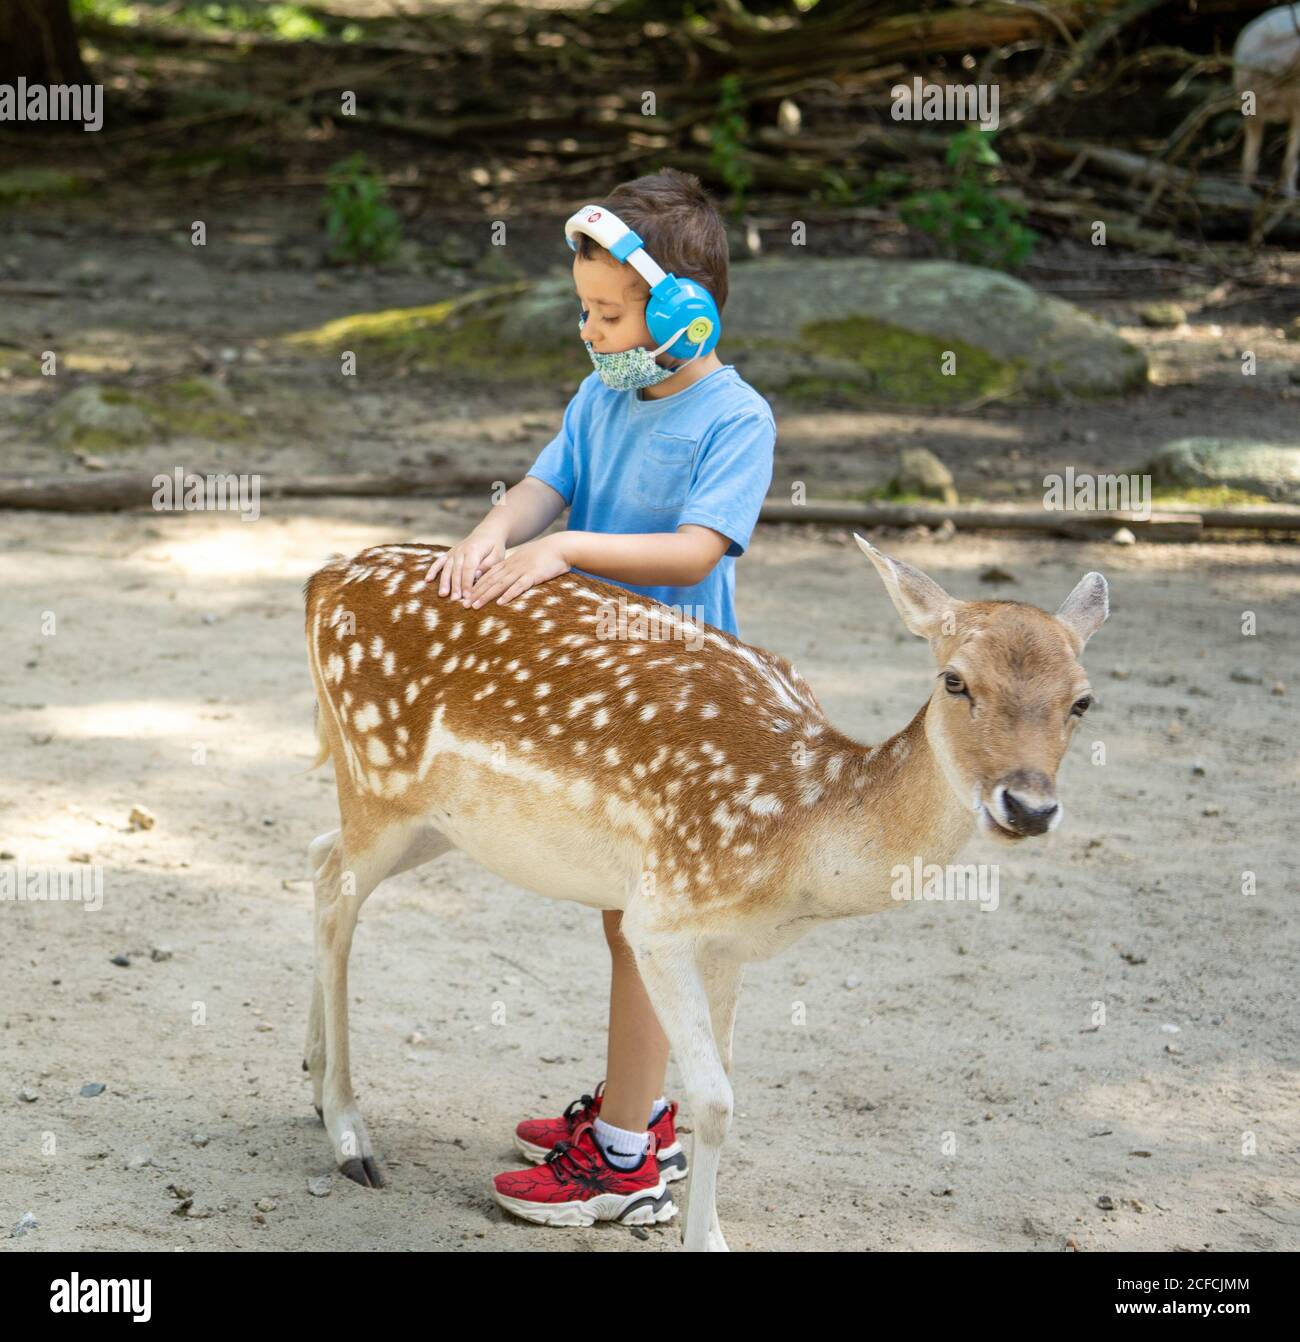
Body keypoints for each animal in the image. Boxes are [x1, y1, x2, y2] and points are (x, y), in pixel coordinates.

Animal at [301, 534, 1105, 1245]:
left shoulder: (731, 946)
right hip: (376, 778)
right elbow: (716, 1100)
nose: (1028, 807)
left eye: (1083, 701)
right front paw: (703, 1238)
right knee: (339, 899)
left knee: (316, 858)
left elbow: (719, 1090)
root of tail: (323, 578)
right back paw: (350, 1136)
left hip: (435, 821)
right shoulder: (662, 916)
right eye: (955, 679)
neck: (798, 835)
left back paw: (313, 1086)